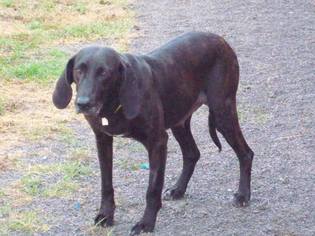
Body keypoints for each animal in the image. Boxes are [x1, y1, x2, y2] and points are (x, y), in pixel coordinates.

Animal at [51, 31, 254, 236]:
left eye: (104, 73)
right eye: (79, 70)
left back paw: (243, 195)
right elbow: (106, 184)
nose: (83, 103)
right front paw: (106, 215)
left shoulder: (157, 141)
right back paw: (178, 190)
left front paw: (146, 223)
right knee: (192, 153)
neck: (114, 104)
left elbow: (153, 188)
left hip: (222, 113)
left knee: (246, 153)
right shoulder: (103, 139)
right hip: (179, 120)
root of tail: (221, 40)